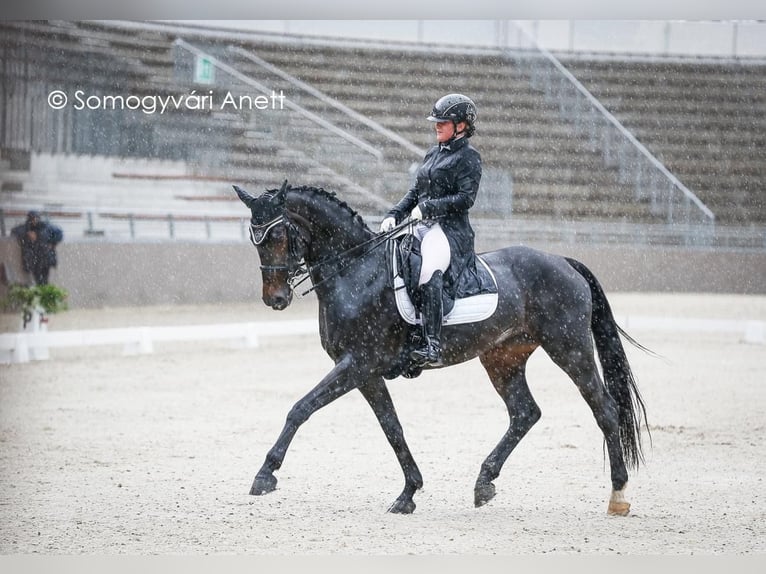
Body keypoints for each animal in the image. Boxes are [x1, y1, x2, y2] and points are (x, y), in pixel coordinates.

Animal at [232, 181, 648, 516]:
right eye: (254, 238)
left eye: (277, 235)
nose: (275, 299)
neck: (355, 270)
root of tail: (563, 260)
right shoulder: (365, 372)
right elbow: (392, 428)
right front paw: (408, 494)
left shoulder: (358, 363)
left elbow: (300, 408)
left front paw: (265, 474)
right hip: (502, 358)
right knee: (525, 412)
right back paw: (484, 483)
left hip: (569, 349)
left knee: (604, 408)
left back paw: (618, 495)